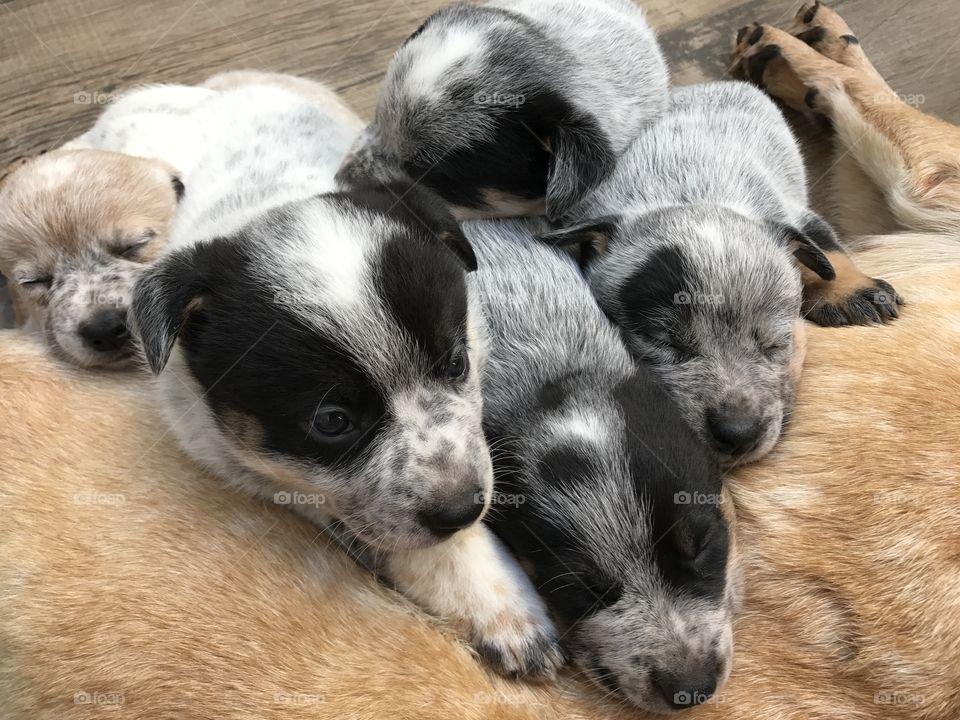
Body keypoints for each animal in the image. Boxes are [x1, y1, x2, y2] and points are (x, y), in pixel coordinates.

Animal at [128, 77, 564, 676]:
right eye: (332, 422)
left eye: (457, 363)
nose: (464, 508)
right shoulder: (268, 474)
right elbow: (391, 532)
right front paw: (498, 606)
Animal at [540, 81, 900, 464]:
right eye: (665, 342)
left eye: (774, 344)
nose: (738, 433)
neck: (693, 194)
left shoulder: (794, 215)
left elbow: (826, 248)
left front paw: (854, 291)